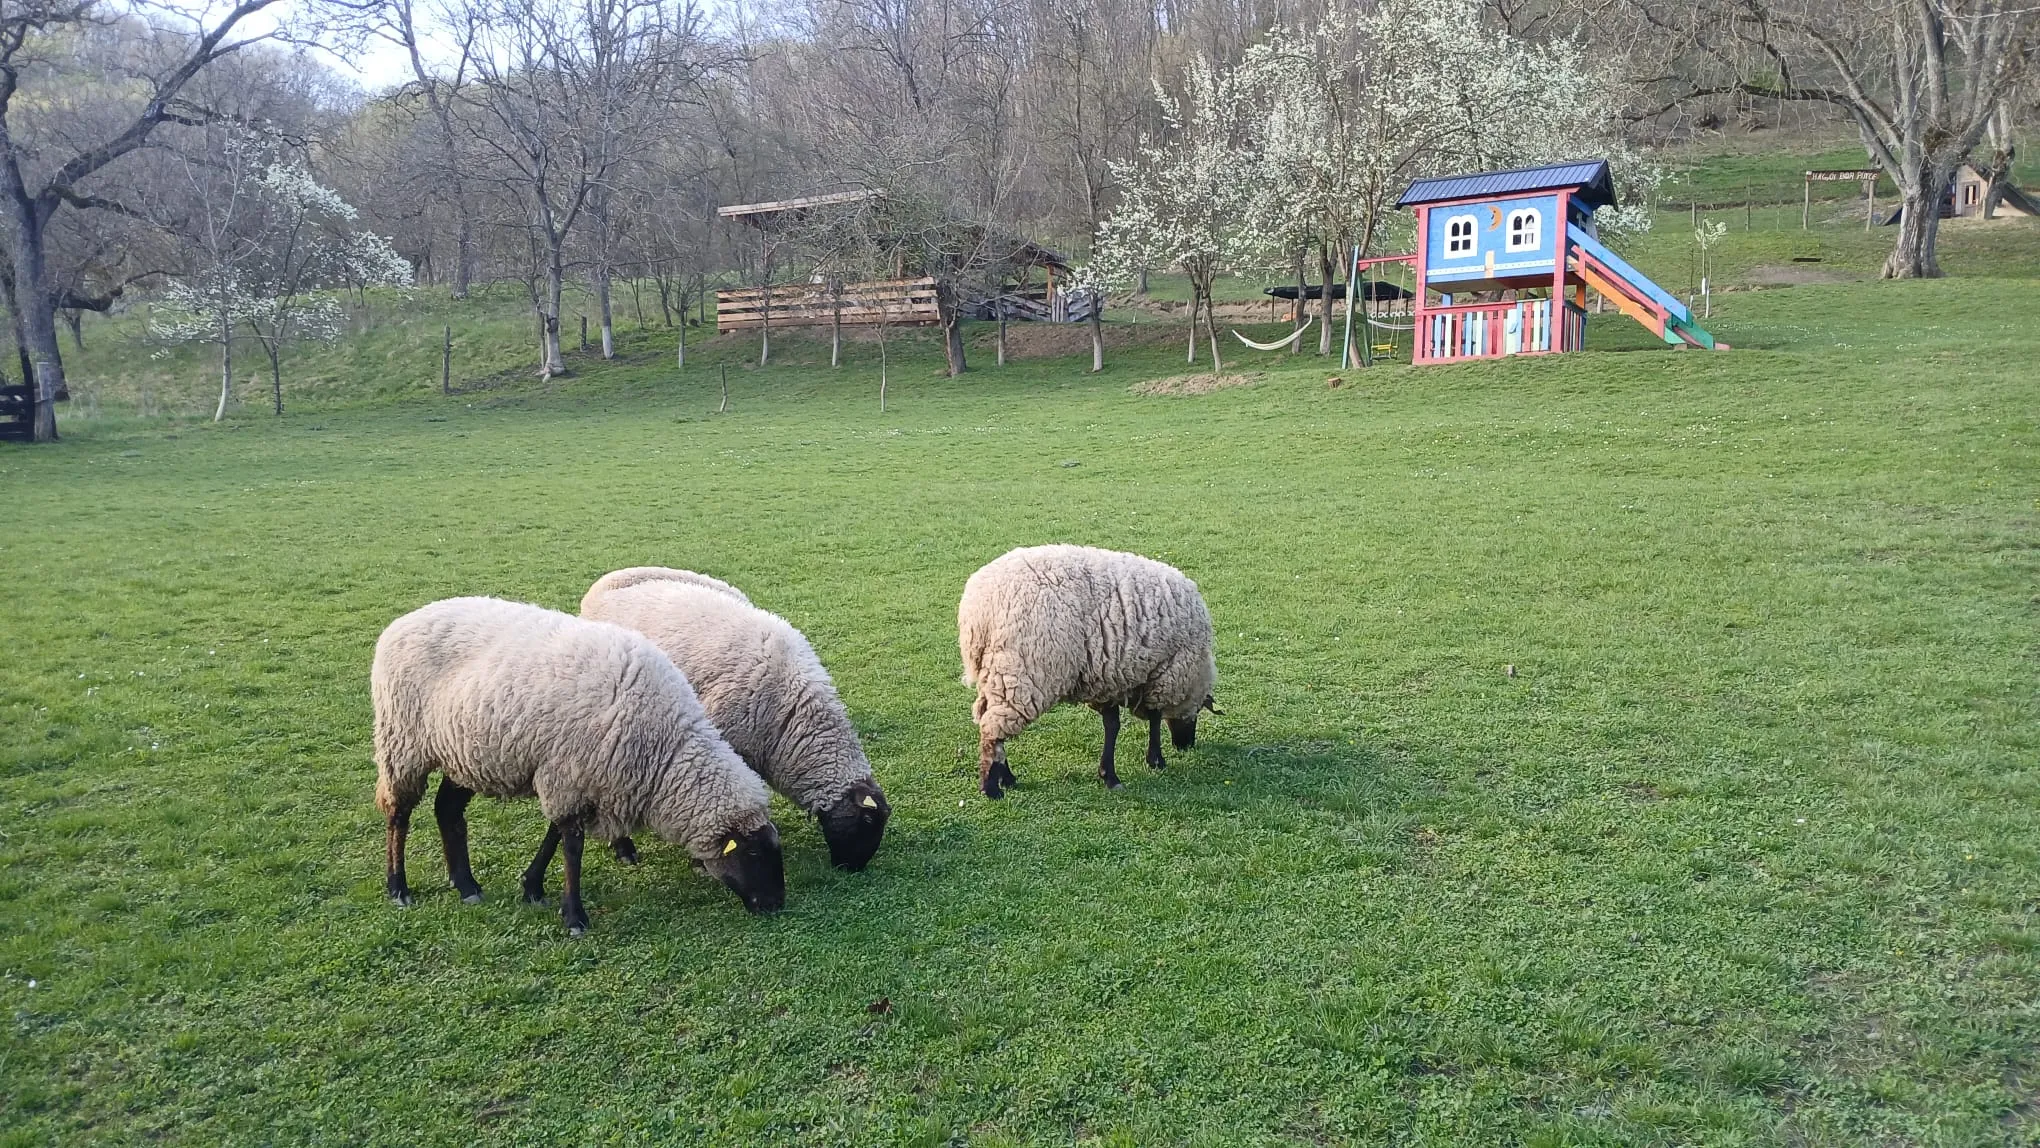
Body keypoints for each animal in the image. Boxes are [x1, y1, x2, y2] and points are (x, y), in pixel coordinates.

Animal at [372, 596, 785, 933]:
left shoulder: (577, 777)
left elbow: (556, 834)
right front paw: (573, 916)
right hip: (402, 742)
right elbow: (571, 845)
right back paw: (398, 887)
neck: (664, 751)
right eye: (751, 852)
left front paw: (533, 887)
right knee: (399, 813)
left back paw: (466, 885)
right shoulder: (568, 773)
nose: (777, 905)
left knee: (447, 811)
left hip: (462, 752)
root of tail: (402, 622)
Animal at [958, 544, 1219, 799]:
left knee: (987, 719)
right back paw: (991, 788)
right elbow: (1154, 719)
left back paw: (1007, 777)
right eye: (1198, 711)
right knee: (993, 730)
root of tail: (976, 612)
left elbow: (1112, 725)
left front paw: (1108, 774)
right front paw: (1155, 760)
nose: (1186, 745)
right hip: (1021, 674)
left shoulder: (1109, 677)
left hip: (995, 675)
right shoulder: (1162, 674)